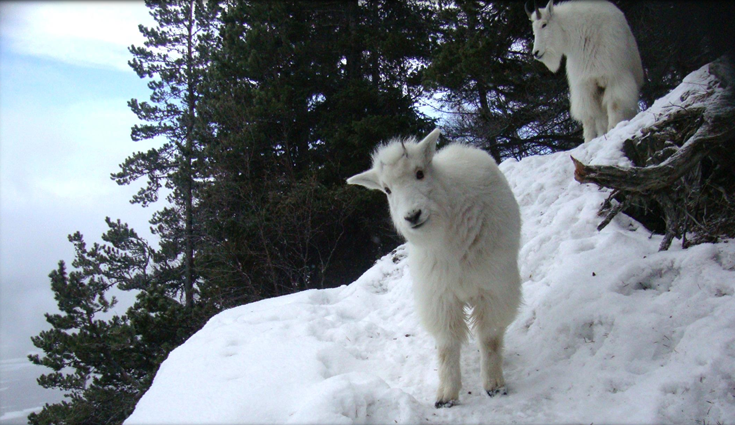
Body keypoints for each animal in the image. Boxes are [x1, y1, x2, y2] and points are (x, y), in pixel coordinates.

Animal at [347, 128, 522, 408]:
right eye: (387, 189)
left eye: (420, 173)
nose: (412, 215)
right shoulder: (440, 296)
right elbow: (447, 346)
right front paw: (446, 395)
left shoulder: (493, 287)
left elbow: (490, 337)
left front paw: (494, 384)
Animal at [527, 0, 644, 142]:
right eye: (533, 30)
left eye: (544, 24)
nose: (536, 53)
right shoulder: (584, 85)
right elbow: (588, 116)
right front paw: (588, 140)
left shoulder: (614, 76)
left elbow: (614, 104)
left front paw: (613, 128)